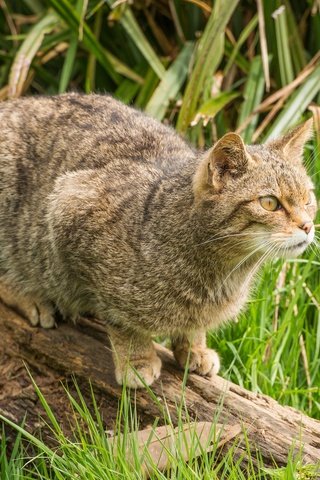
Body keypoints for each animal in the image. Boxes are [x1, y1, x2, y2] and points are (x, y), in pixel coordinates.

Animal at [0, 92, 316, 388]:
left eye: (308, 198)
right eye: (270, 203)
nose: (308, 225)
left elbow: (193, 325)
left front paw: (194, 348)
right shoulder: (70, 206)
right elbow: (122, 321)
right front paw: (137, 359)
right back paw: (31, 298)